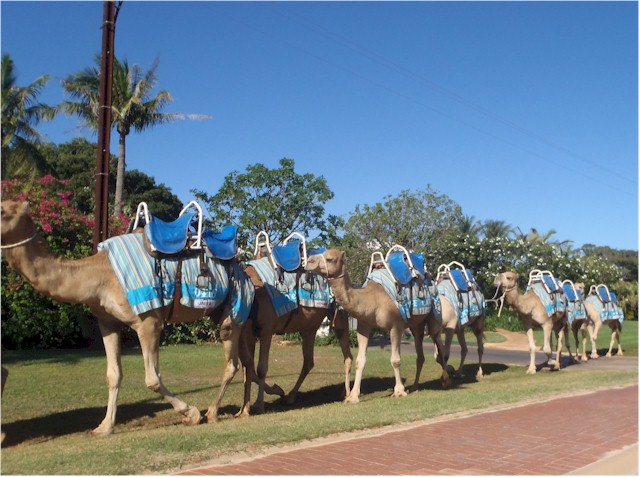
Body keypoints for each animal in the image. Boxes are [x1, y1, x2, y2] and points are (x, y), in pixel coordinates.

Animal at [0, 200, 251, 435]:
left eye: (3, 210)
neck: (99, 274)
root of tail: (241, 266)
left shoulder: (149, 322)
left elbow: (152, 378)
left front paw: (191, 414)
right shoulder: (108, 323)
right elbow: (113, 374)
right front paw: (104, 427)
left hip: (234, 309)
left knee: (232, 361)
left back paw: (212, 412)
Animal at [305, 248, 451, 403]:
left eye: (330, 259)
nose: (309, 262)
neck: (371, 299)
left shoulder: (396, 326)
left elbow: (395, 360)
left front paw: (399, 391)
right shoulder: (364, 327)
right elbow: (360, 361)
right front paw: (353, 397)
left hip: (435, 313)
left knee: (438, 343)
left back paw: (446, 381)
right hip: (416, 324)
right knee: (420, 350)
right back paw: (415, 386)